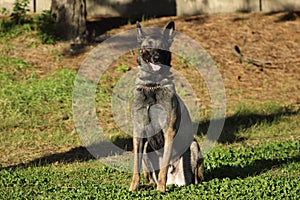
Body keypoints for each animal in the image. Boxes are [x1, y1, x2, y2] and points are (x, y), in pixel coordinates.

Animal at [129, 20, 204, 192]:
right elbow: (136, 166)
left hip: (193, 145)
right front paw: (133, 187)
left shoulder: (168, 131)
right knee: (149, 174)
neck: (152, 85)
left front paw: (160, 190)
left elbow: (163, 166)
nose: (156, 57)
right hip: (146, 150)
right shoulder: (139, 131)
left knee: (196, 177)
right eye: (148, 47)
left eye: (162, 47)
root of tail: (174, 181)